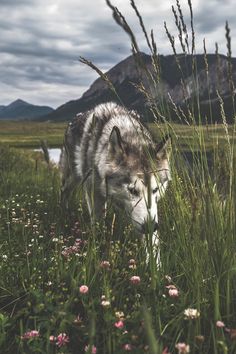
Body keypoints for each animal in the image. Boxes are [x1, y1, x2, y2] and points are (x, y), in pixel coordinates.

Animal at [59, 103, 170, 238]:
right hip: (71, 179)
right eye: (133, 191)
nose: (151, 227)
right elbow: (97, 224)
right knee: (64, 193)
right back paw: (64, 215)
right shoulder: (94, 193)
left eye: (155, 190)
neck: (130, 134)